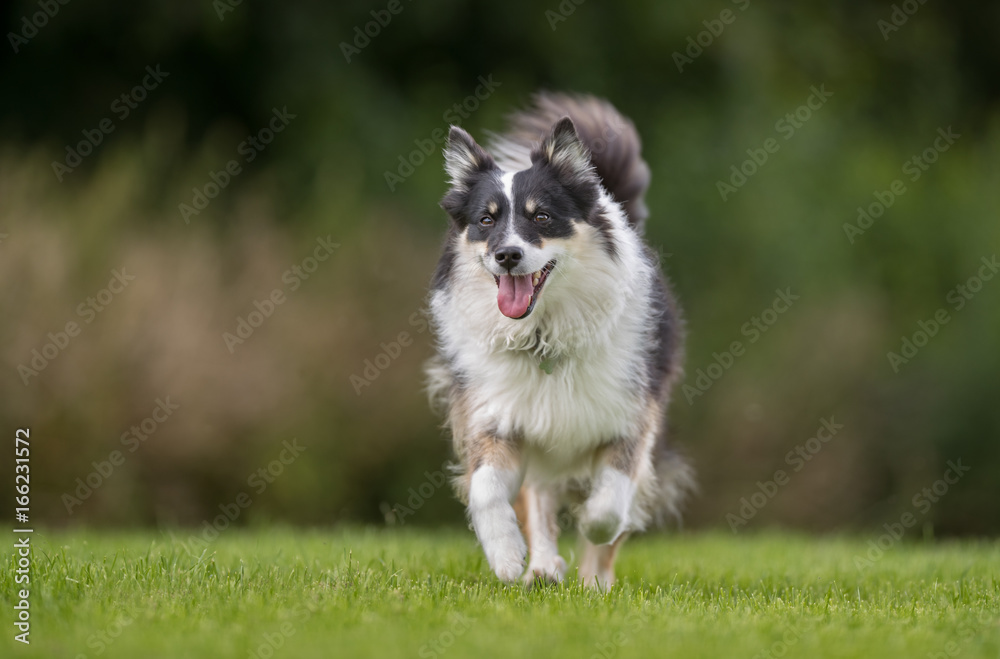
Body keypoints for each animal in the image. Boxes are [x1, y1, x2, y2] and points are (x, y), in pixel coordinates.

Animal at [426, 91, 692, 588]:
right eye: (486, 221)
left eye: (542, 217)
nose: (507, 255)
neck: (543, 335)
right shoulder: (495, 412)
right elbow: (487, 488)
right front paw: (507, 557)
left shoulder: (630, 417)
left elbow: (610, 506)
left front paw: (591, 528)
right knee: (539, 496)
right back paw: (543, 567)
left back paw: (594, 581)